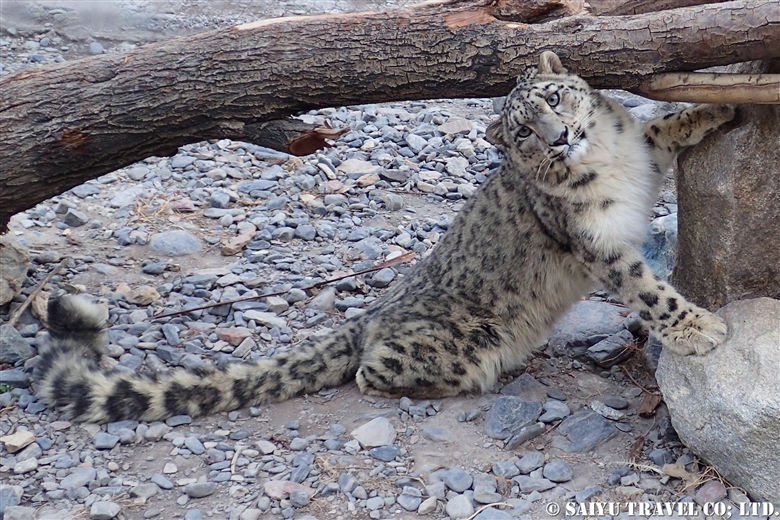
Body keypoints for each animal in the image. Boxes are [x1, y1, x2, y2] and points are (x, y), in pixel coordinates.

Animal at [35, 50, 732, 422]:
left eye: (556, 99)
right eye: (524, 131)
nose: (560, 138)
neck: (608, 162)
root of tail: (368, 316)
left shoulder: (640, 153)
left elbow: (663, 127)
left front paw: (720, 107)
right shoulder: (598, 246)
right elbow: (648, 291)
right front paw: (703, 330)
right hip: (455, 342)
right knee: (374, 373)